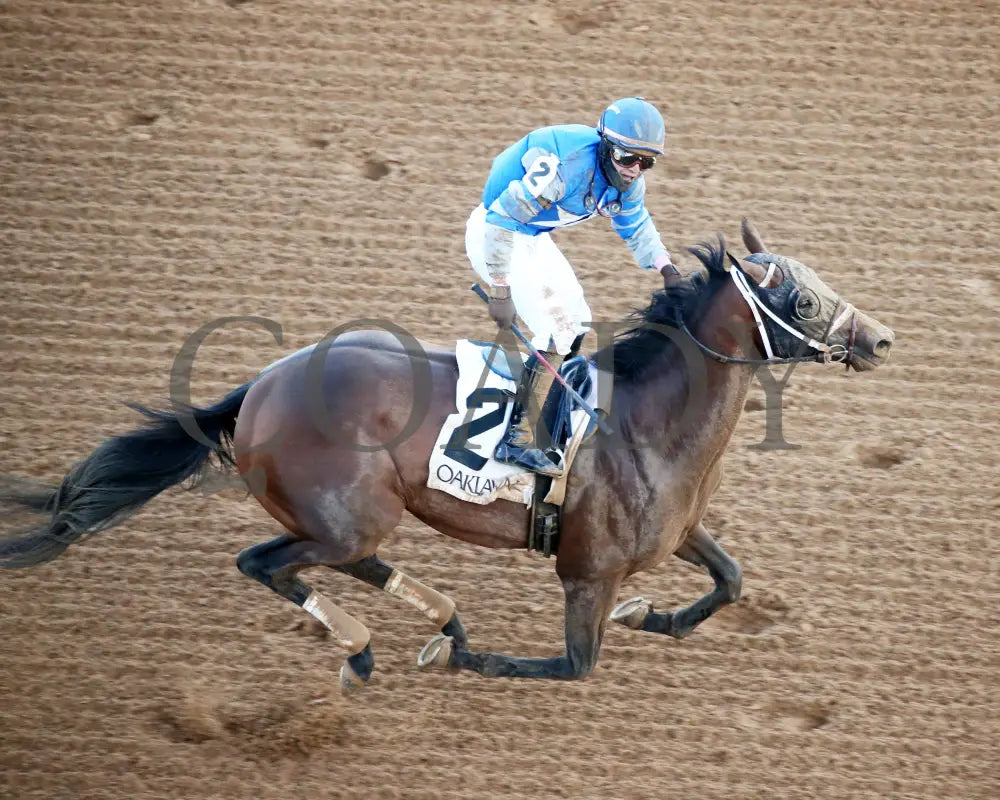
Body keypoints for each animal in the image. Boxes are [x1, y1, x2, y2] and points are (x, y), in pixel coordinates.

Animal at [0, 222, 892, 692]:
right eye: (801, 297)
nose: (881, 339)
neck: (648, 423)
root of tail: (259, 388)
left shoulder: (675, 534)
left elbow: (730, 581)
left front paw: (653, 615)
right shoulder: (587, 570)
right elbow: (572, 666)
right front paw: (469, 656)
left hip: (358, 517)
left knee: (338, 563)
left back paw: (424, 621)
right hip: (343, 515)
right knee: (264, 563)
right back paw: (373, 641)